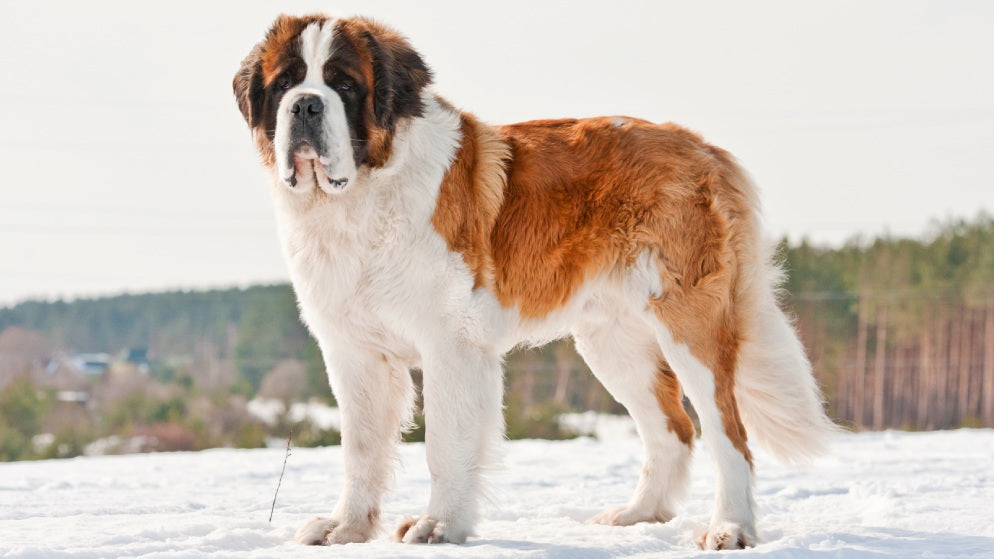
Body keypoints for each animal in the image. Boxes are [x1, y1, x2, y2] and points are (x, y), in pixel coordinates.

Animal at [234, 13, 836, 552]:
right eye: (285, 83)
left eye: (343, 85)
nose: (305, 105)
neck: (361, 196)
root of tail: (705, 148)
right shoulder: (353, 352)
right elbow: (360, 449)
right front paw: (346, 529)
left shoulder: (451, 344)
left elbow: (444, 443)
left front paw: (438, 526)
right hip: (612, 343)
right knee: (672, 429)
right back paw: (637, 516)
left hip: (689, 325)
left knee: (727, 433)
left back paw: (729, 529)